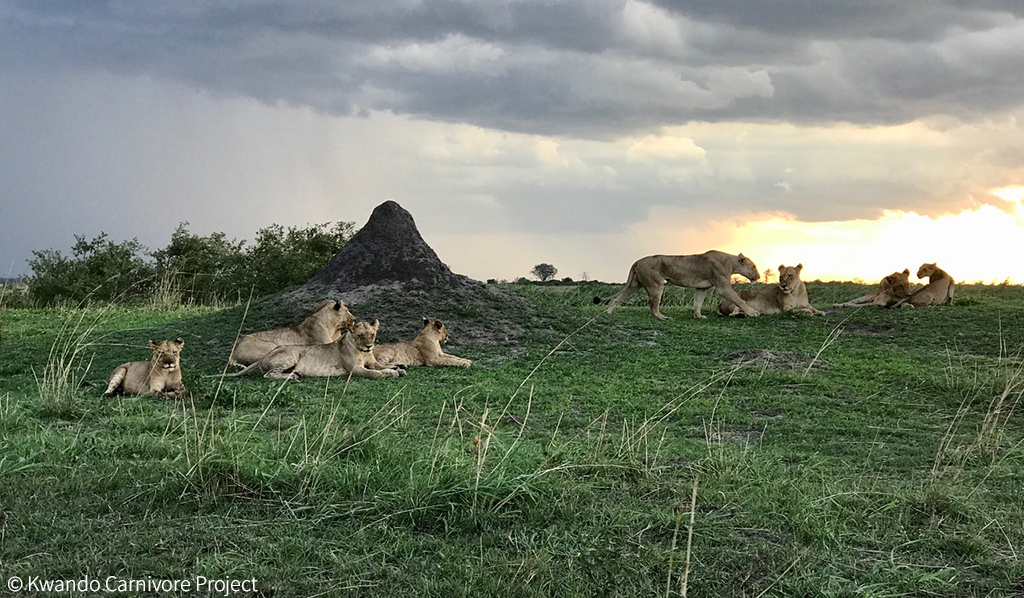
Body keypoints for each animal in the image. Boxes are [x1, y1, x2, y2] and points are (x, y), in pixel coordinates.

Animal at [226, 320, 405, 380]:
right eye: (360, 335)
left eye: (372, 335)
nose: (369, 346)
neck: (361, 351)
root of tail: (263, 357)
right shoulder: (354, 369)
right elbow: (373, 373)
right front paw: (389, 373)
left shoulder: (372, 362)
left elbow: (380, 366)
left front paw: (397, 367)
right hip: (291, 354)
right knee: (269, 374)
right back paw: (292, 377)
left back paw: (295, 374)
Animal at [595, 250, 761, 320]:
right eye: (753, 267)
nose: (758, 277)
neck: (731, 263)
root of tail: (637, 261)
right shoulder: (723, 286)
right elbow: (739, 299)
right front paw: (753, 312)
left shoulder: (702, 287)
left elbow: (698, 302)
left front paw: (699, 316)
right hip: (656, 284)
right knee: (653, 307)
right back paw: (663, 318)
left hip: (635, 284)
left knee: (617, 298)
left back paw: (608, 313)